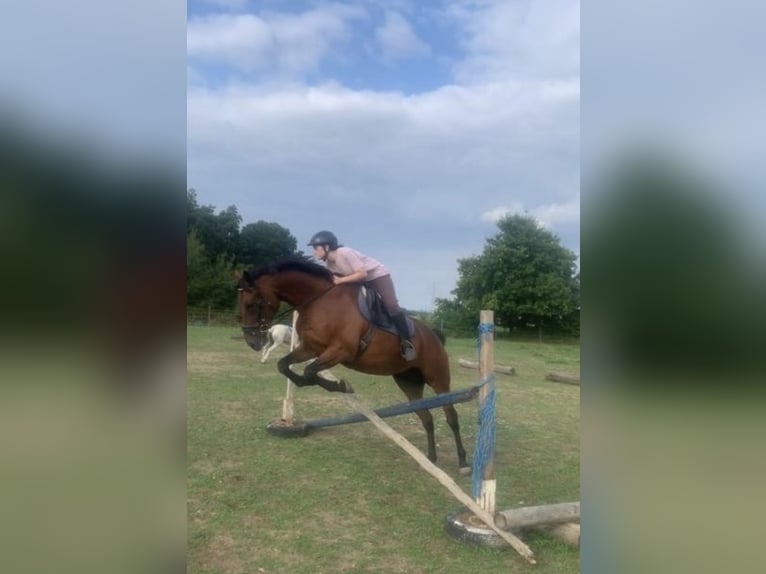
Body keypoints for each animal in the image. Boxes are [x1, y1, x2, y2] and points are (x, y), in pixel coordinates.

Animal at [237, 254, 469, 471]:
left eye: (251, 304)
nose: (252, 342)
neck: (318, 301)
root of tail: (434, 335)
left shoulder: (341, 351)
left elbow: (310, 371)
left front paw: (341, 385)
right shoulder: (311, 348)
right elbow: (285, 366)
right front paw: (333, 385)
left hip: (438, 378)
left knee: (451, 416)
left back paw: (463, 463)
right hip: (408, 382)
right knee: (426, 417)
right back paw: (431, 459)